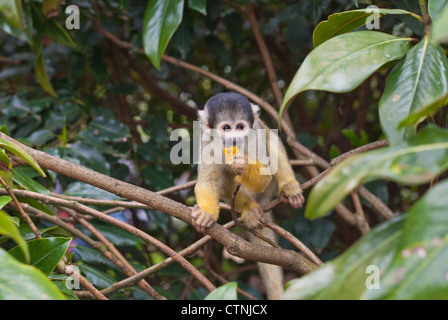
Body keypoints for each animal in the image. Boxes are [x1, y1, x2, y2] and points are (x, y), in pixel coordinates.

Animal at [192, 92, 304, 300]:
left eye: (240, 127)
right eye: (226, 128)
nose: (235, 138)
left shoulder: (254, 133)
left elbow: (265, 171)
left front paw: (243, 165)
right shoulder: (207, 142)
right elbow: (207, 180)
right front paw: (206, 214)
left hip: (268, 188)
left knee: (271, 140)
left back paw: (289, 185)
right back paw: (248, 207)